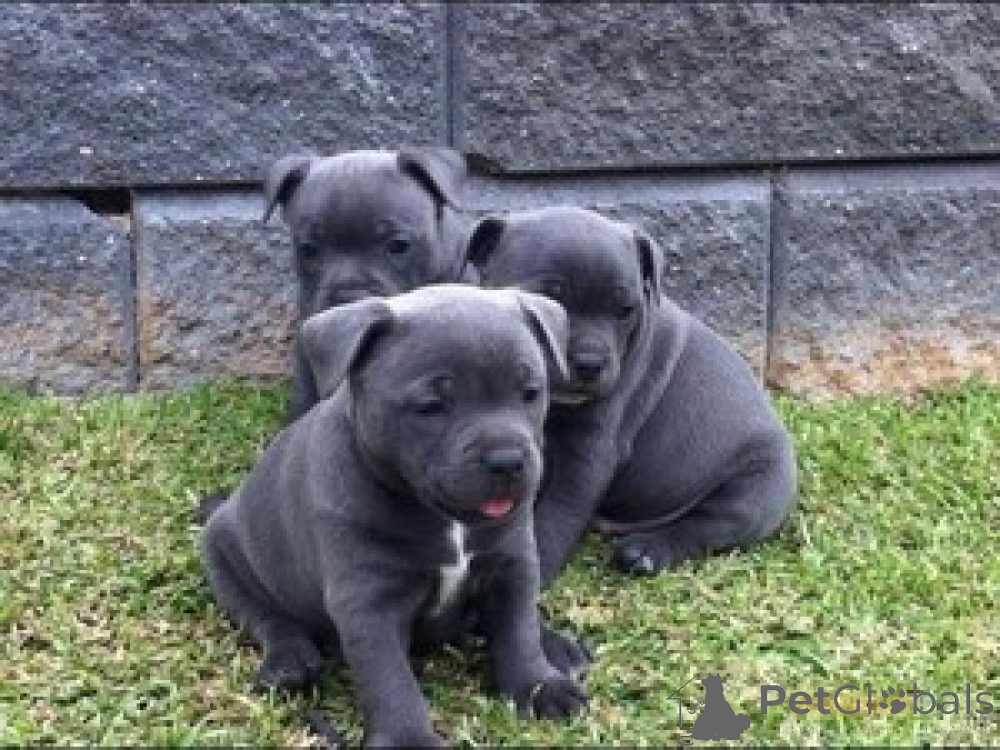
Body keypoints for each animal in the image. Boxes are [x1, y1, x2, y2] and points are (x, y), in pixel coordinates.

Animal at [200, 285, 587, 747]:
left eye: (531, 392)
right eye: (432, 406)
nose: (508, 461)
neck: (447, 519)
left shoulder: (513, 565)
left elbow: (518, 629)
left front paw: (539, 686)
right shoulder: (368, 600)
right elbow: (390, 679)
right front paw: (408, 738)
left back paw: (558, 646)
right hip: (223, 556)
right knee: (265, 617)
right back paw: (289, 661)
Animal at [466, 206, 797, 584]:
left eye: (625, 310)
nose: (590, 363)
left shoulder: (587, 457)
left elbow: (555, 517)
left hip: (758, 489)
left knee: (708, 525)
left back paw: (646, 551)